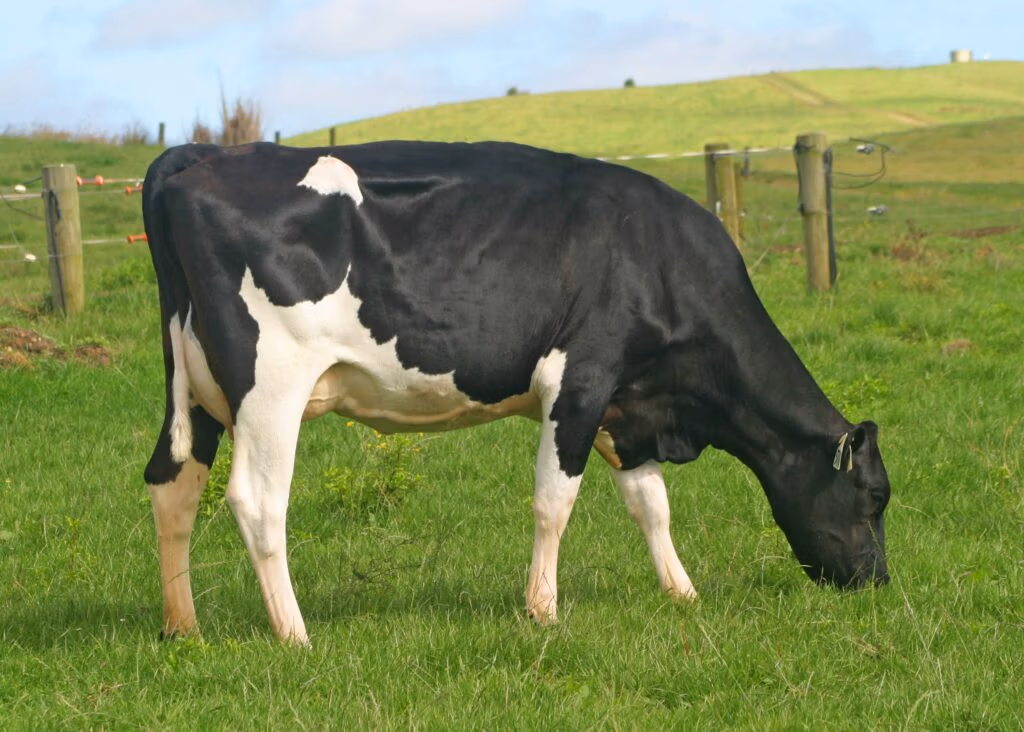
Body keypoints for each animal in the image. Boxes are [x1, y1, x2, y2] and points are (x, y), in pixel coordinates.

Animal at [141, 140, 890, 645]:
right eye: (873, 498)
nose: (877, 583)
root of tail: (202, 156)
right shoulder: (580, 381)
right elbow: (554, 503)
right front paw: (543, 609)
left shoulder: (628, 407)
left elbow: (652, 505)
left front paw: (682, 592)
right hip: (270, 386)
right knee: (257, 502)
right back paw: (294, 632)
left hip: (197, 391)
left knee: (172, 485)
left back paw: (183, 626)